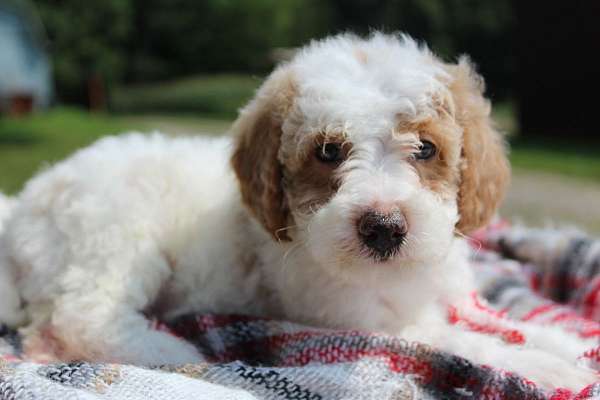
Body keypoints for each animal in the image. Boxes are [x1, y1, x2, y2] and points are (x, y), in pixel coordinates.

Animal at [0, 34, 596, 390]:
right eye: (329, 151)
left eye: (425, 149)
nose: (384, 228)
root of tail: (23, 209)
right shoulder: (361, 319)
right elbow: (458, 339)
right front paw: (546, 366)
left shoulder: (447, 293)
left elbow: (496, 320)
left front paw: (562, 343)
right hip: (116, 239)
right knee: (80, 317)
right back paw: (168, 345)